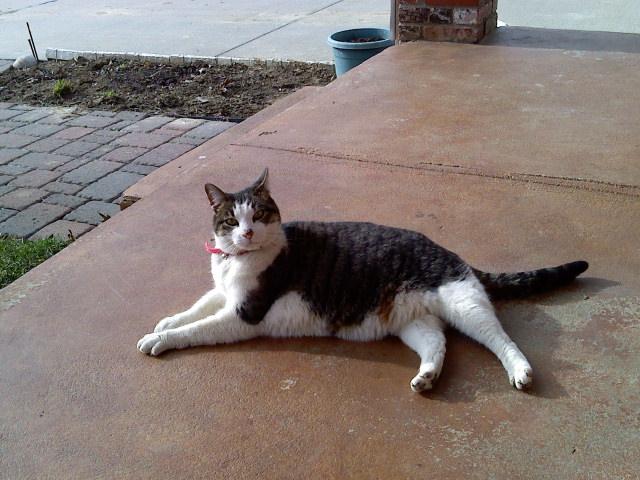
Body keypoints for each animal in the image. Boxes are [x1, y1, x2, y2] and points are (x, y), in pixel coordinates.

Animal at [137, 169, 588, 392]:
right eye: (231, 220)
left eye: (260, 215)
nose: (247, 233)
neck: (237, 262)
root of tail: (451, 253)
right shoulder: (225, 292)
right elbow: (197, 305)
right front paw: (166, 321)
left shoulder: (244, 313)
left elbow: (198, 328)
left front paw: (161, 338)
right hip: (414, 323)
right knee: (438, 345)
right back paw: (427, 377)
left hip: (465, 304)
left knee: (501, 339)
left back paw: (520, 370)